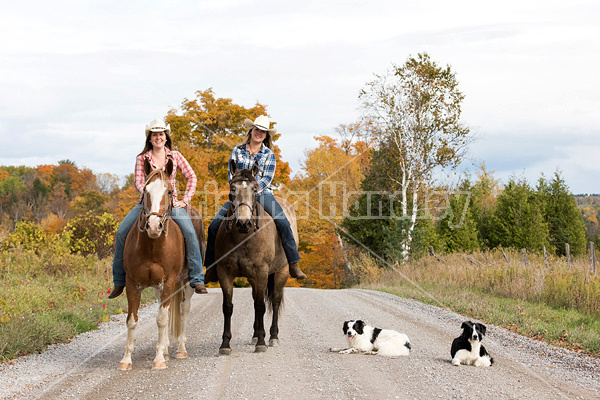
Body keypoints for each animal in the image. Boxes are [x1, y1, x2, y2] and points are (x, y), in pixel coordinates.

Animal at [118, 158, 206, 370]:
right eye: (145, 191)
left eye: (169, 191)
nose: (153, 226)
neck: (153, 246)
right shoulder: (133, 284)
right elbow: (132, 320)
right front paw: (126, 359)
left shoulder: (168, 283)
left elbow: (162, 319)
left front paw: (158, 359)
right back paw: (166, 349)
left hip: (185, 283)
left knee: (184, 310)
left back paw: (180, 350)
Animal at [214, 159, 296, 354]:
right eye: (232, 190)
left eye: (254, 189)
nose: (244, 223)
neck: (243, 238)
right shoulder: (224, 272)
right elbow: (228, 307)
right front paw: (225, 345)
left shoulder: (261, 272)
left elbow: (261, 305)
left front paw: (262, 343)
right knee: (255, 300)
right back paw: (256, 334)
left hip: (281, 272)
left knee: (274, 301)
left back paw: (272, 337)